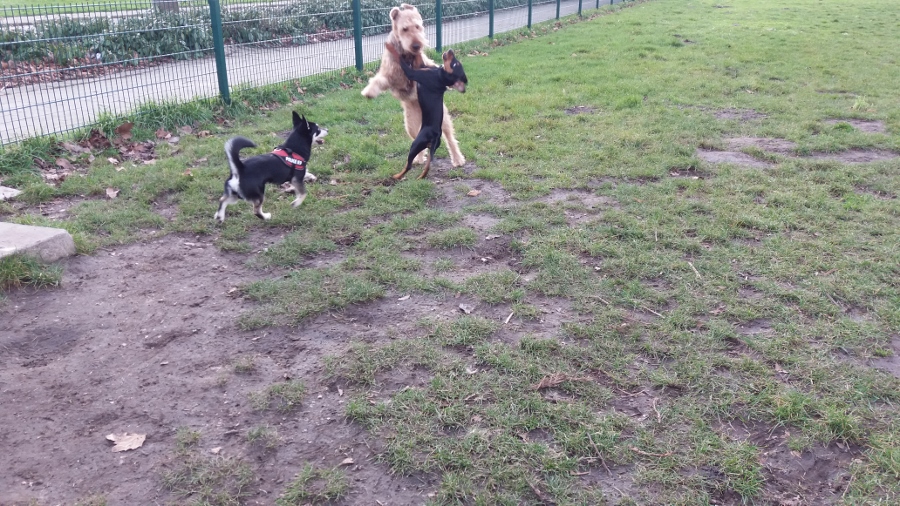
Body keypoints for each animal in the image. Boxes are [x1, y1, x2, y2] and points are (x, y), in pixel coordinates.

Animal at [385, 43, 467, 180]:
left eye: (455, 64)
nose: (450, 50)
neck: (440, 77)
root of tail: (435, 136)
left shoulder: (413, 73)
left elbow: (401, 60)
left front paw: (390, 47)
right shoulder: (421, 67)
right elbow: (418, 58)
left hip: (415, 144)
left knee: (409, 165)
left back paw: (397, 176)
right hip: (432, 148)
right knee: (429, 164)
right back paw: (421, 176)